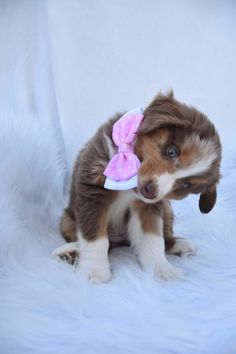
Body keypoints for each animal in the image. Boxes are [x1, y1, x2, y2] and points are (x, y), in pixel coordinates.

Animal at [52, 91, 222, 282]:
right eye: (172, 152)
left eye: (185, 185)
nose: (150, 191)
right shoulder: (93, 193)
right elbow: (95, 237)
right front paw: (94, 271)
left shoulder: (148, 207)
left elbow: (153, 239)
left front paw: (162, 270)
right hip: (67, 220)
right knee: (103, 243)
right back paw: (69, 252)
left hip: (167, 207)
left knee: (164, 237)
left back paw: (179, 244)